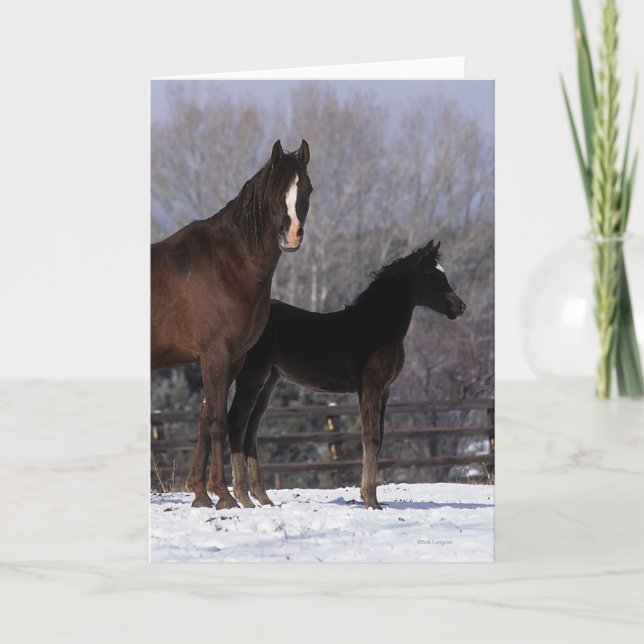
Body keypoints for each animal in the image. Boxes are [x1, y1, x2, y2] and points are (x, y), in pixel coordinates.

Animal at [152, 139, 313, 509]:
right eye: (274, 191)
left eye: (307, 189)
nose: (292, 236)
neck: (228, 262)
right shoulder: (215, 354)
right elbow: (217, 422)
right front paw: (224, 495)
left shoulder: (233, 357)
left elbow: (204, 419)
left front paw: (200, 493)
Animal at [225, 239, 466, 510]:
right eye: (433, 276)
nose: (460, 306)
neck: (376, 327)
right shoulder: (370, 387)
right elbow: (370, 438)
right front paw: (371, 500)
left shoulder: (385, 391)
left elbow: (379, 438)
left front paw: (371, 497)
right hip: (252, 375)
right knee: (236, 423)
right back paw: (244, 497)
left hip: (269, 381)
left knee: (252, 430)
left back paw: (263, 498)